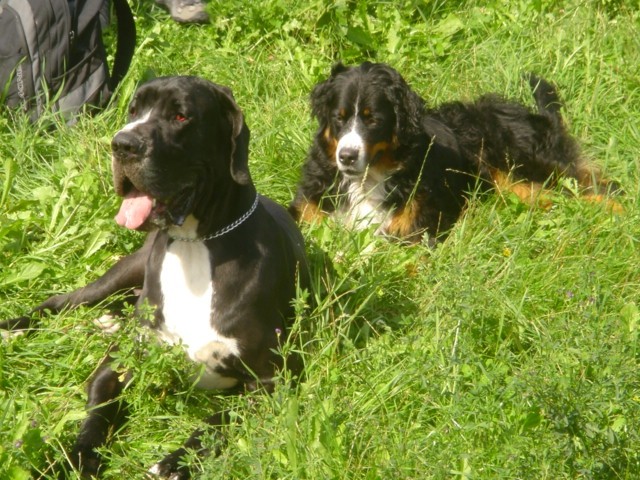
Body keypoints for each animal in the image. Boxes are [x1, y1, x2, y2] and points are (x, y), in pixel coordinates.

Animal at [0, 77, 310, 478]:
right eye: (134, 111)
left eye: (180, 116)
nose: (122, 144)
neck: (195, 243)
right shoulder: (118, 363)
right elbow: (98, 410)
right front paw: (77, 457)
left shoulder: (271, 380)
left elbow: (220, 420)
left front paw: (176, 460)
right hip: (123, 271)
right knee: (62, 301)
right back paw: (14, 328)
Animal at [290, 61, 620, 244]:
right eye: (339, 117)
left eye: (373, 120)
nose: (346, 156)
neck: (367, 179)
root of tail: (532, 116)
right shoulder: (308, 208)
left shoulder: (415, 228)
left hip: (527, 172)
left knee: (595, 187)